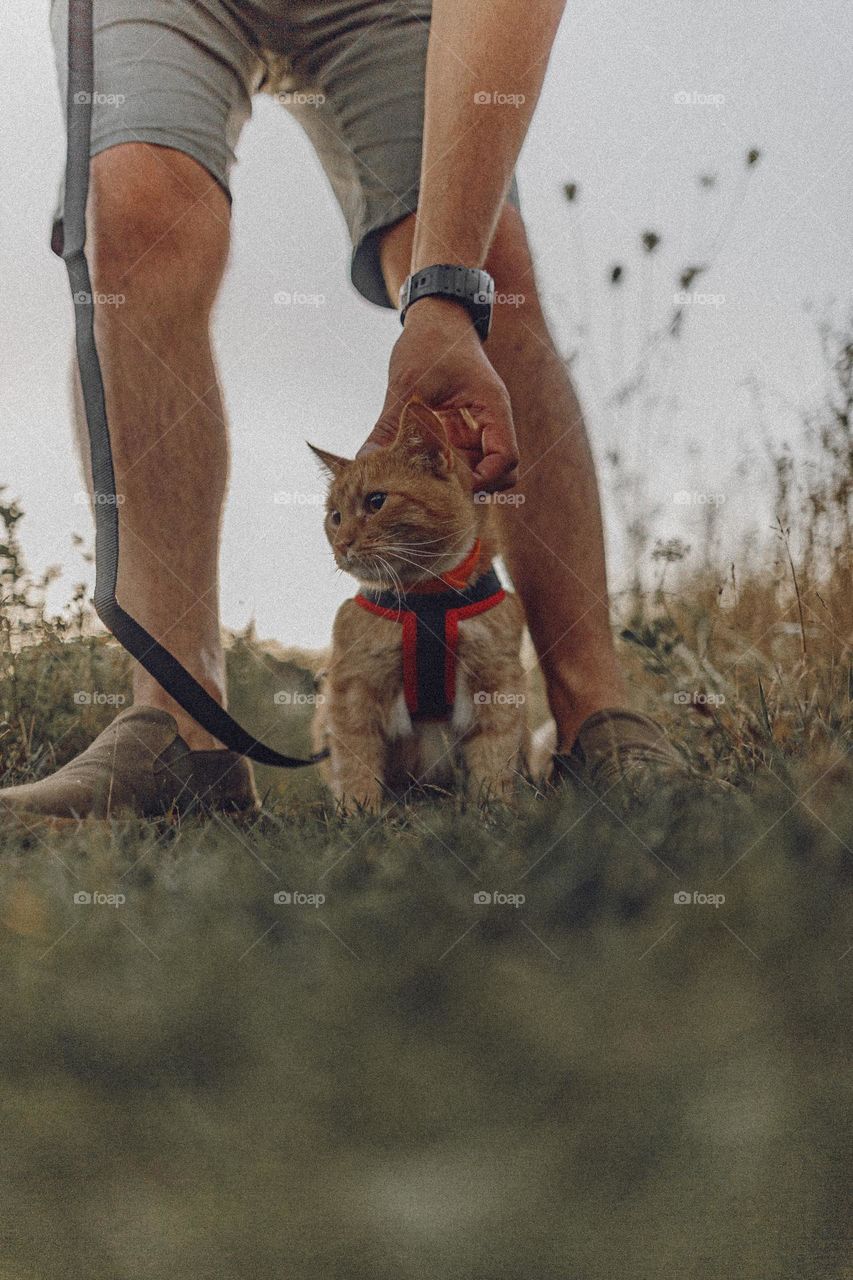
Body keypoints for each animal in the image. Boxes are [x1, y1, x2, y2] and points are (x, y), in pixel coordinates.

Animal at [308, 399, 527, 808]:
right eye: (335, 517)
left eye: (376, 501)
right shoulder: (353, 687)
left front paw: (493, 809)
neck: (429, 597)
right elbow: (356, 763)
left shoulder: (498, 681)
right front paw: (361, 813)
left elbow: (493, 758)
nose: (341, 544)